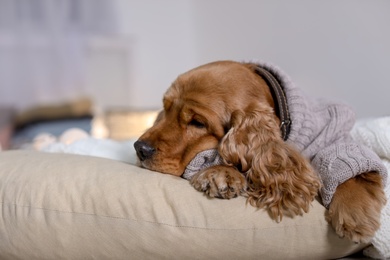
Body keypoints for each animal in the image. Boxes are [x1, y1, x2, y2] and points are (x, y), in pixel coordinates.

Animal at [135, 60, 386, 243]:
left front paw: (356, 215)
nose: (139, 148)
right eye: (165, 109)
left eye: (197, 123)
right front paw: (221, 173)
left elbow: (354, 173)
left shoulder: (336, 139)